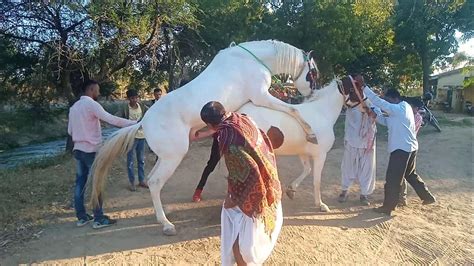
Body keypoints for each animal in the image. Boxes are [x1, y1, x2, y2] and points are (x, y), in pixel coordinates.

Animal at [91, 39, 322, 235]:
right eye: (313, 73)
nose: (313, 94)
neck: (252, 60)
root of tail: (143, 122)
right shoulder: (261, 96)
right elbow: (293, 109)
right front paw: (311, 133)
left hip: (165, 157)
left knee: (151, 180)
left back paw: (162, 216)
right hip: (173, 157)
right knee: (155, 182)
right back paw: (166, 224)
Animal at [239, 77, 358, 212]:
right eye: (360, 86)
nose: (368, 105)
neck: (322, 113)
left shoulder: (302, 153)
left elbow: (307, 169)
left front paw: (291, 190)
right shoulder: (320, 155)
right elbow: (317, 181)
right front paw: (320, 204)